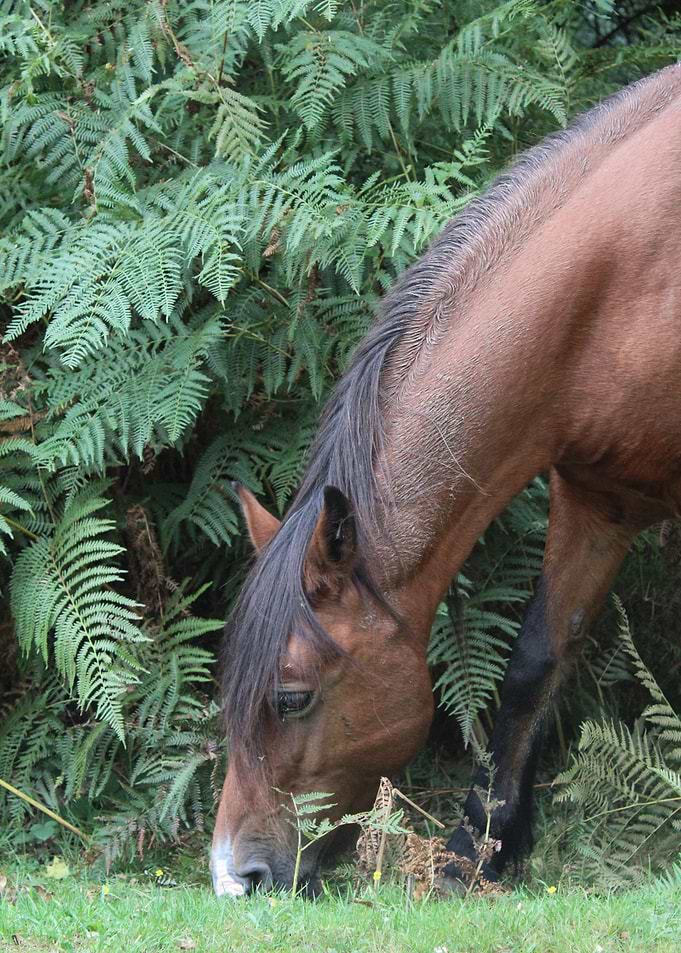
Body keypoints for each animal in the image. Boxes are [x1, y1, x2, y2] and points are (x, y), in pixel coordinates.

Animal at [211, 63, 681, 898]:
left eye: (291, 696)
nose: (236, 876)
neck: (625, 281)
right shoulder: (597, 500)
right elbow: (532, 663)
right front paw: (478, 848)